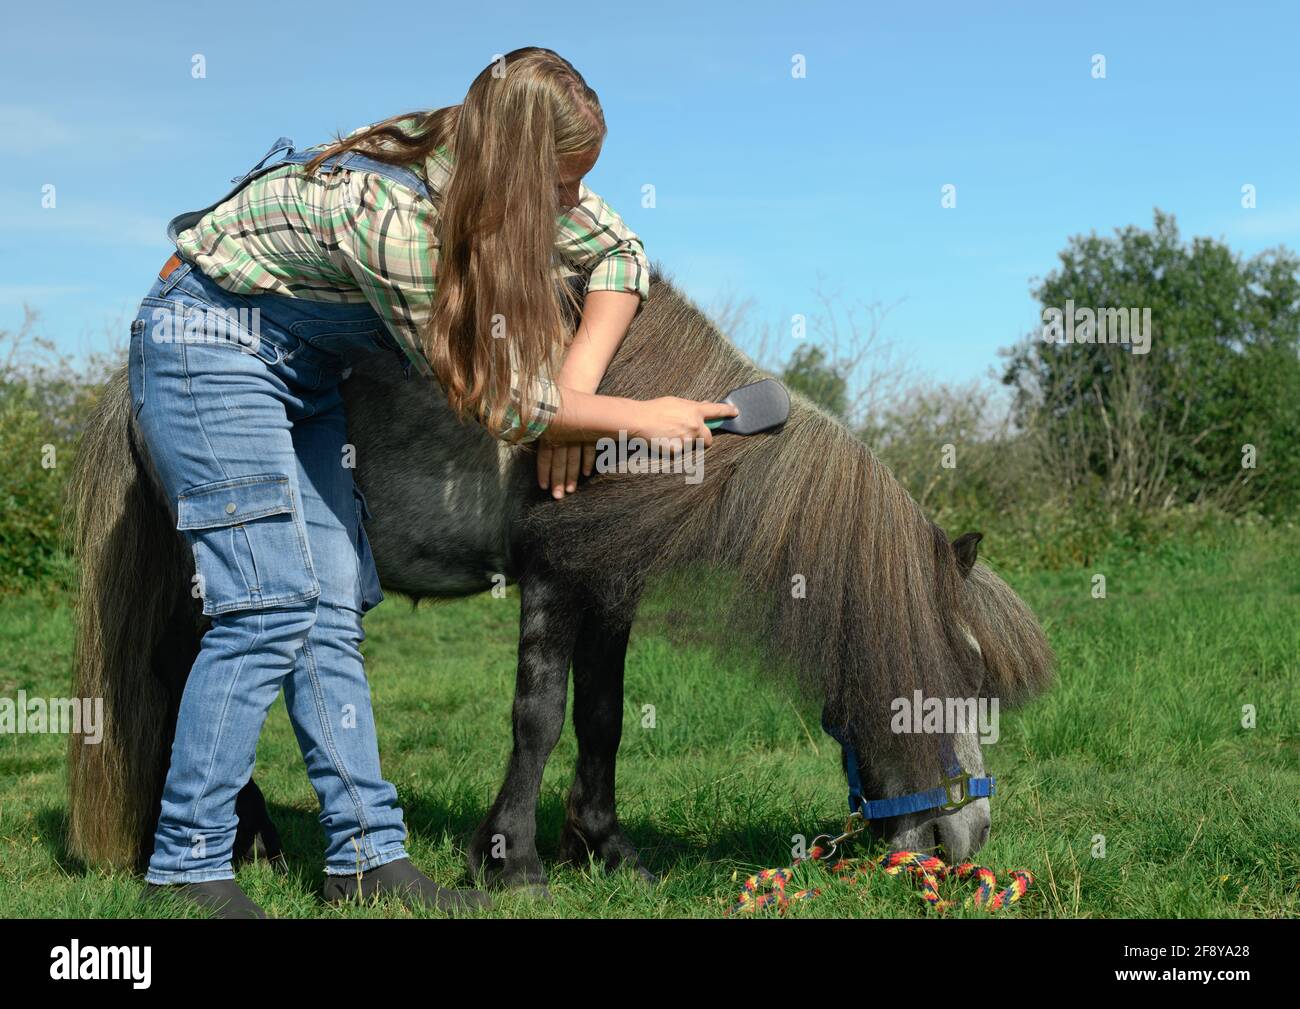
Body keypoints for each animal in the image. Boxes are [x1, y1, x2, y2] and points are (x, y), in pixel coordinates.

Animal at [66, 268, 1054, 890]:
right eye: (961, 677)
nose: (966, 838)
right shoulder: (549, 575)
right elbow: (538, 715)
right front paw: (514, 857)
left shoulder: (607, 582)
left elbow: (602, 717)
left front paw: (605, 845)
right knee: (195, 683)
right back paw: (251, 842)